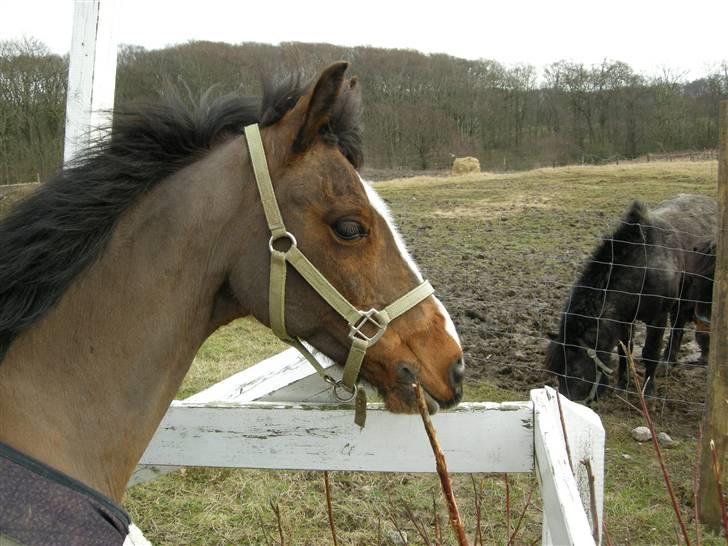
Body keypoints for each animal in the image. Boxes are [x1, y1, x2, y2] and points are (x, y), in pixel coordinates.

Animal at [545, 194, 716, 403]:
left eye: (576, 370)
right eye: (557, 372)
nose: (568, 402)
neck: (643, 267)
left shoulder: (657, 319)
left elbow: (650, 352)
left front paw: (648, 391)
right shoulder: (625, 319)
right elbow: (624, 351)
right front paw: (622, 386)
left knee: (677, 324)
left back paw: (667, 361)